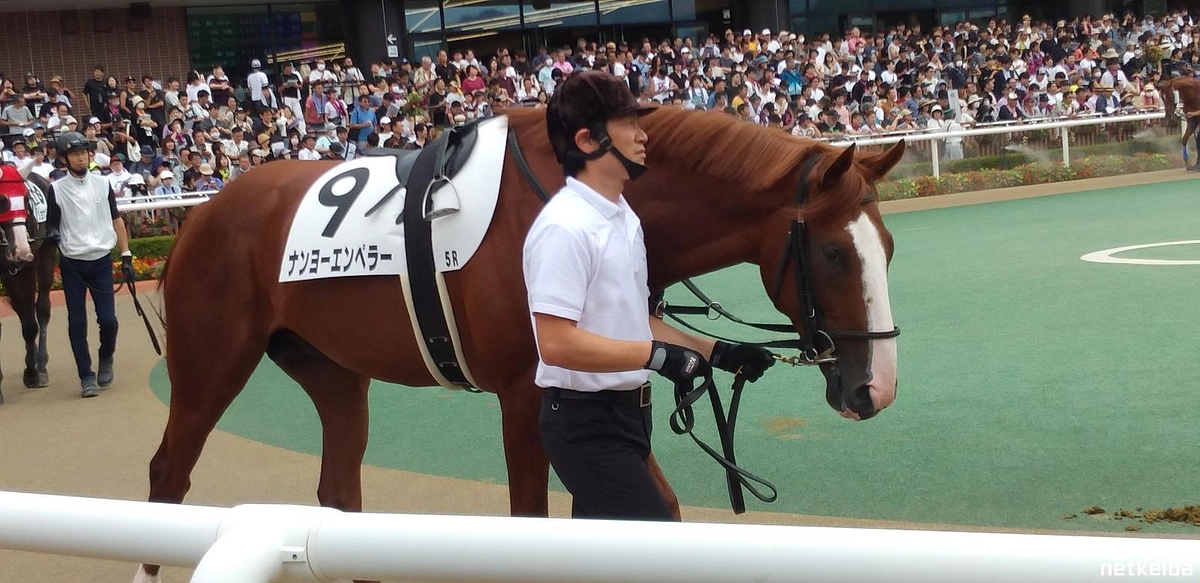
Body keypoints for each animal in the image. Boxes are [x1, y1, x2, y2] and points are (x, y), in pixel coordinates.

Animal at [135, 107, 905, 582]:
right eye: (834, 253)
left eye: (888, 247)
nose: (875, 387)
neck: (577, 195)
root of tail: (201, 215)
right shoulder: (523, 393)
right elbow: (530, 522)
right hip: (210, 366)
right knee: (168, 475)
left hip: (333, 371)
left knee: (338, 493)